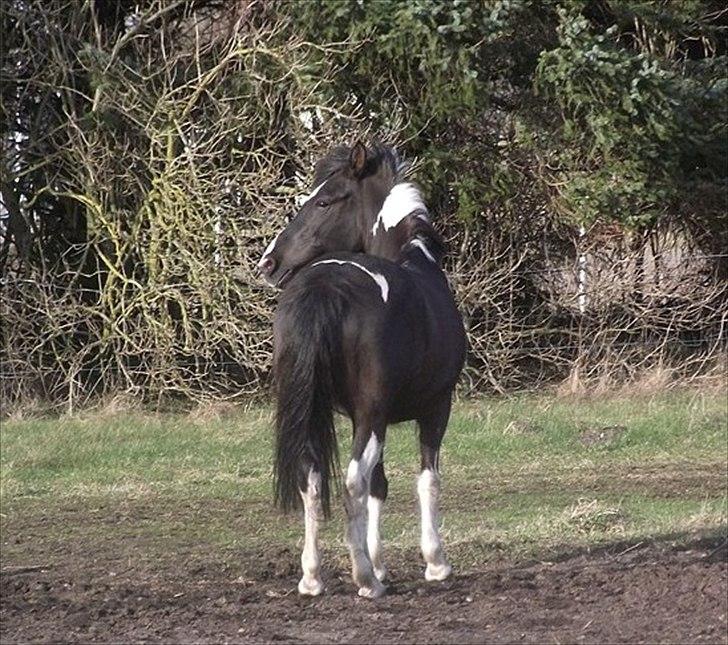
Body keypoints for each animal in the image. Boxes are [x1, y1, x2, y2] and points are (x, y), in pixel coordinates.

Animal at [256, 142, 466, 600]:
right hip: (375, 415)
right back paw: (364, 579)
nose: (268, 263)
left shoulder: (367, 416)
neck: (416, 262)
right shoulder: (435, 408)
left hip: (325, 412)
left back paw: (313, 577)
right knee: (352, 480)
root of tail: (324, 285)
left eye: (323, 201)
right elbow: (427, 479)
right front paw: (435, 562)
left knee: (312, 477)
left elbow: (380, 486)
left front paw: (382, 562)